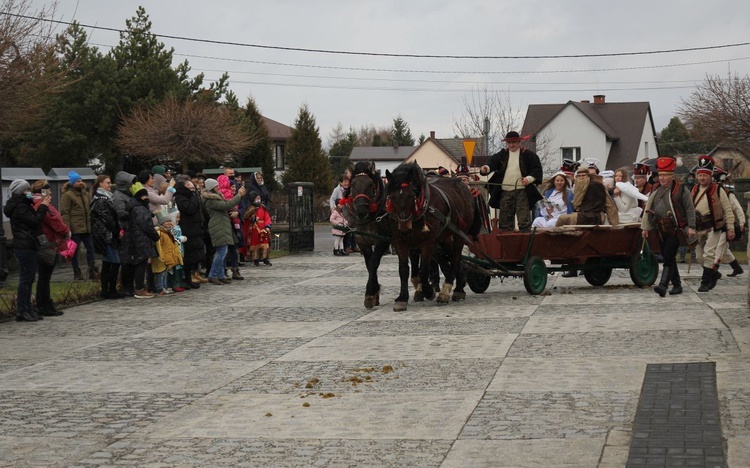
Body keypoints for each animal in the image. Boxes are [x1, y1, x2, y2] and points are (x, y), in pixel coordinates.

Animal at [388, 161, 476, 310]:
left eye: (411, 195)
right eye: (392, 197)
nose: (404, 228)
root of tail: (462, 184)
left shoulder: (428, 242)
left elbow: (424, 270)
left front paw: (428, 291)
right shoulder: (400, 242)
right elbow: (403, 270)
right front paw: (402, 298)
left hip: (460, 233)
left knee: (455, 257)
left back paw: (448, 292)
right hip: (445, 237)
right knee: (454, 256)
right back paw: (459, 287)